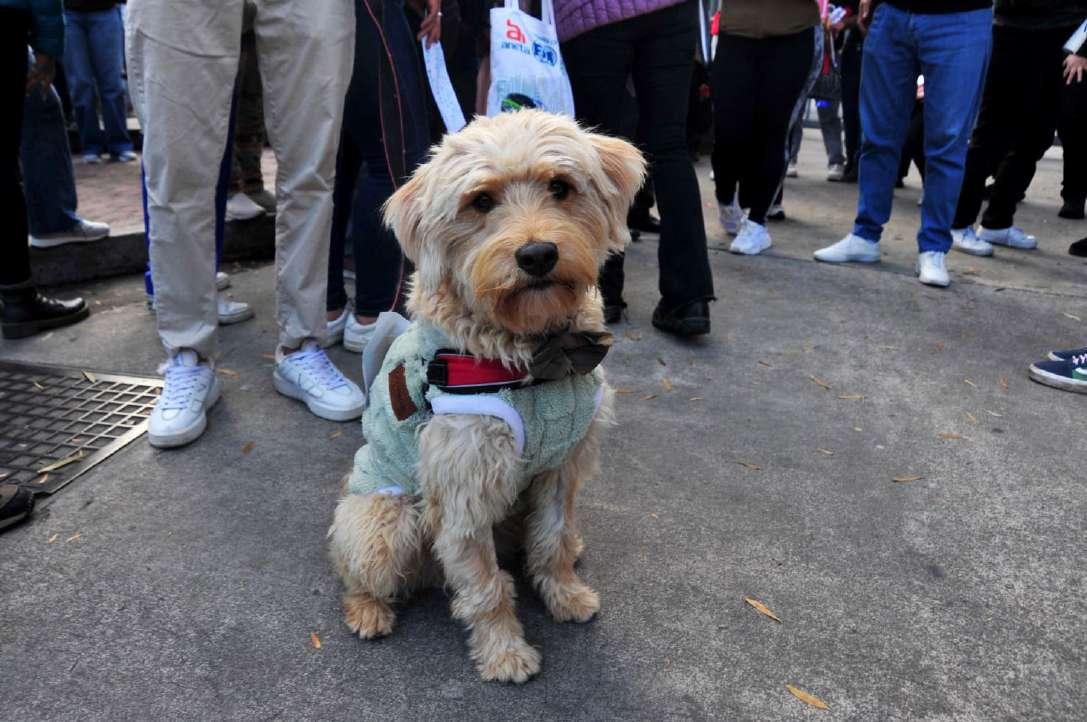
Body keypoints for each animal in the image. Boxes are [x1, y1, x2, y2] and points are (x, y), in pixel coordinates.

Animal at [328, 110, 645, 683]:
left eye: (560, 187)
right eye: (481, 201)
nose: (537, 254)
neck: (534, 356)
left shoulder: (560, 468)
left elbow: (552, 540)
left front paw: (566, 595)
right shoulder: (464, 494)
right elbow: (485, 587)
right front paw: (504, 653)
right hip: (385, 523)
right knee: (359, 572)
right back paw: (368, 611)